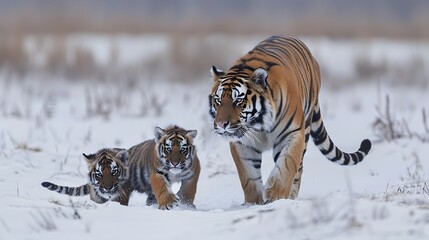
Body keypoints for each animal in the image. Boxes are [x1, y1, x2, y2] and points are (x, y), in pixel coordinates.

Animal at [209, 35, 370, 204]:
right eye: (218, 100)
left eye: (238, 101)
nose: (221, 124)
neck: (258, 124)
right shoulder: (243, 143)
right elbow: (248, 176)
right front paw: (254, 202)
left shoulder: (292, 134)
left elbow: (286, 165)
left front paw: (275, 195)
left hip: (306, 127)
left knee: (299, 168)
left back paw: (291, 195)